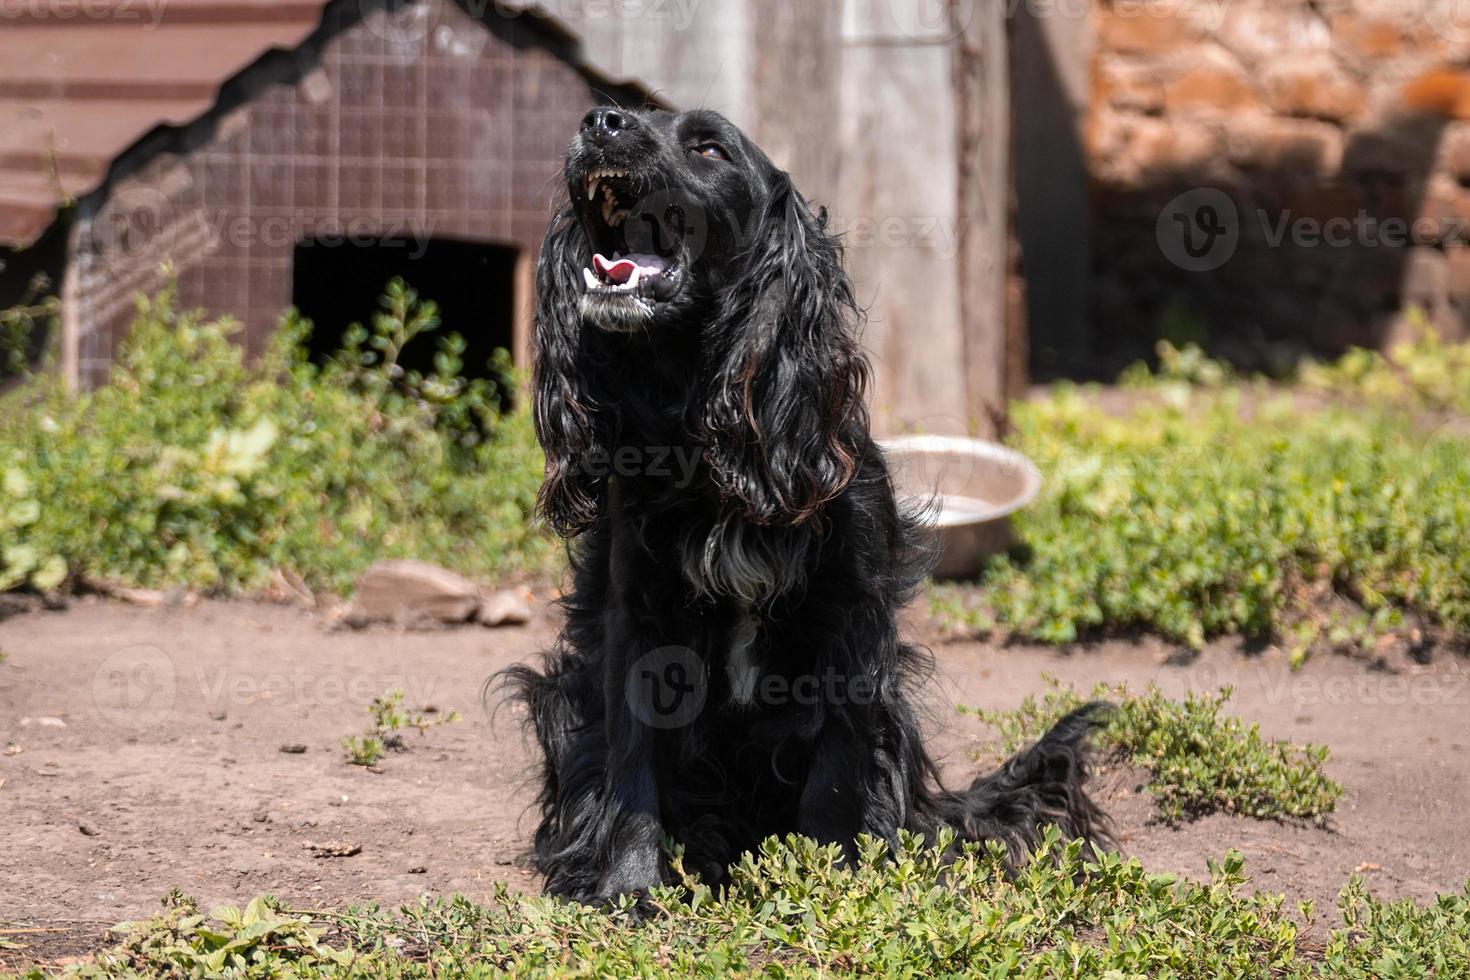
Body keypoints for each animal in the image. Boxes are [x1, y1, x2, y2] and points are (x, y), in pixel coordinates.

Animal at [505, 107, 1105, 905]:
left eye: (709, 147)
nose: (601, 121)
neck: (709, 443)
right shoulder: (636, 620)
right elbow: (632, 771)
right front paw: (628, 889)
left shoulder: (848, 626)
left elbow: (835, 777)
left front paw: (834, 882)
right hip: (564, 693)